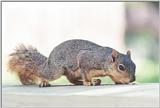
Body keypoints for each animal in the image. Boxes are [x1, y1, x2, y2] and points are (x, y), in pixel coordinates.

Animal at [7, 39, 135, 86]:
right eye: (121, 67)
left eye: (134, 65)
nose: (132, 79)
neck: (104, 59)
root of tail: (48, 61)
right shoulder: (86, 60)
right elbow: (86, 74)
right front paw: (88, 82)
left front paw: (123, 82)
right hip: (56, 71)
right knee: (44, 74)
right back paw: (44, 82)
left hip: (72, 73)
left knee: (71, 80)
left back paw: (90, 81)